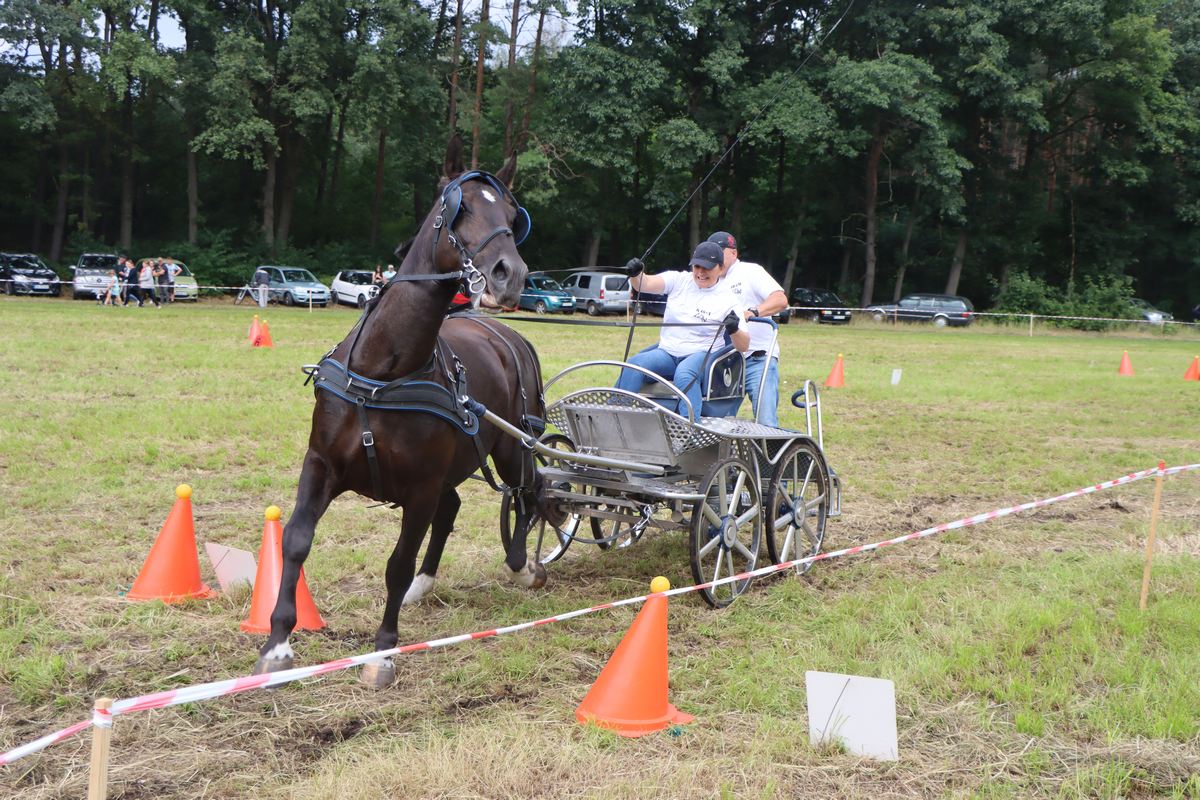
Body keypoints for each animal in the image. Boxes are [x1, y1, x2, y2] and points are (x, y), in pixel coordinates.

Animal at [258, 137, 549, 690]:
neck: (383, 371)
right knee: (457, 507)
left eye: (511, 214)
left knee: (531, 493)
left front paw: (383, 653)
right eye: (460, 209)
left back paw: (523, 564)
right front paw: (278, 644)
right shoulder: (321, 464)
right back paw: (425, 584)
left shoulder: (420, 488)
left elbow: (396, 562)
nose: (512, 275)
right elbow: (297, 541)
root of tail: (509, 337)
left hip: (511, 445)